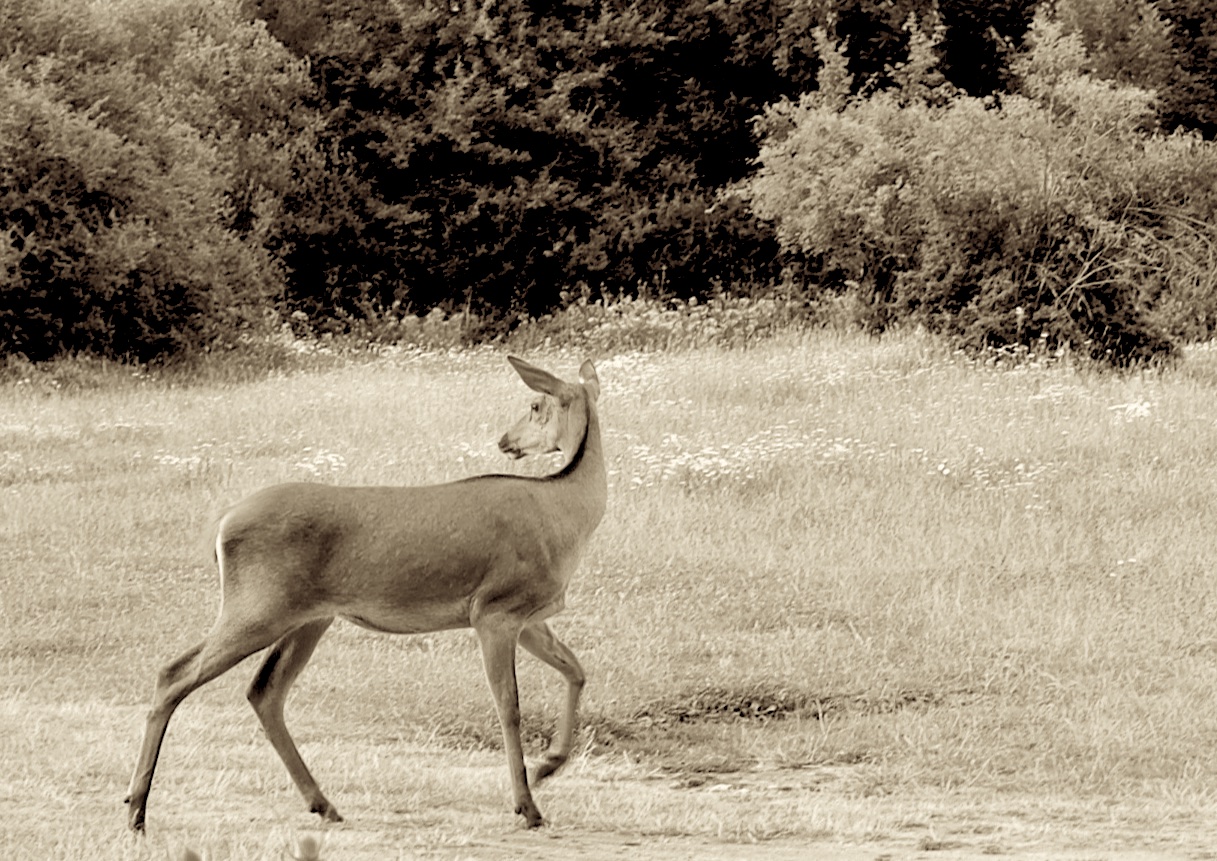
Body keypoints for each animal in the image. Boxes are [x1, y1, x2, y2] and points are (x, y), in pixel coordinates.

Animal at [121, 358, 606, 832]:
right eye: (534, 403)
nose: (504, 440)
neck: (566, 519)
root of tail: (222, 522)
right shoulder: (494, 608)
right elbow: (509, 706)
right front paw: (527, 804)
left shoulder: (529, 616)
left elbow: (577, 670)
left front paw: (548, 766)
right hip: (258, 605)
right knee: (174, 673)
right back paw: (137, 808)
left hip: (307, 616)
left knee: (264, 691)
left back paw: (323, 804)